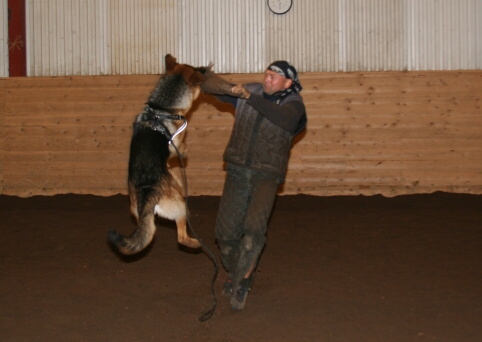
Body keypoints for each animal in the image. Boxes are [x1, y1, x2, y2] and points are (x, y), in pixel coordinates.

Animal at [108, 54, 206, 255]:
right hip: (181, 206)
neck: (162, 108)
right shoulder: (175, 143)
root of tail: (148, 193)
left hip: (138, 212)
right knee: (181, 237)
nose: (205, 70)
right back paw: (195, 243)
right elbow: (180, 147)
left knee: (148, 229)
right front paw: (184, 151)